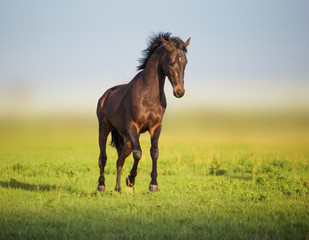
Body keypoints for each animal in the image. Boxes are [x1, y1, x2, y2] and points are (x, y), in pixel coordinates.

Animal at [96, 32, 189, 193]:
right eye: (171, 62)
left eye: (186, 62)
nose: (179, 91)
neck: (148, 95)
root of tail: (105, 96)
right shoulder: (133, 127)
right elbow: (138, 153)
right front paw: (131, 179)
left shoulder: (156, 127)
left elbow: (154, 152)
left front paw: (153, 184)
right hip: (104, 129)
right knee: (103, 157)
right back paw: (101, 185)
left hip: (126, 140)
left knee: (119, 160)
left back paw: (118, 188)